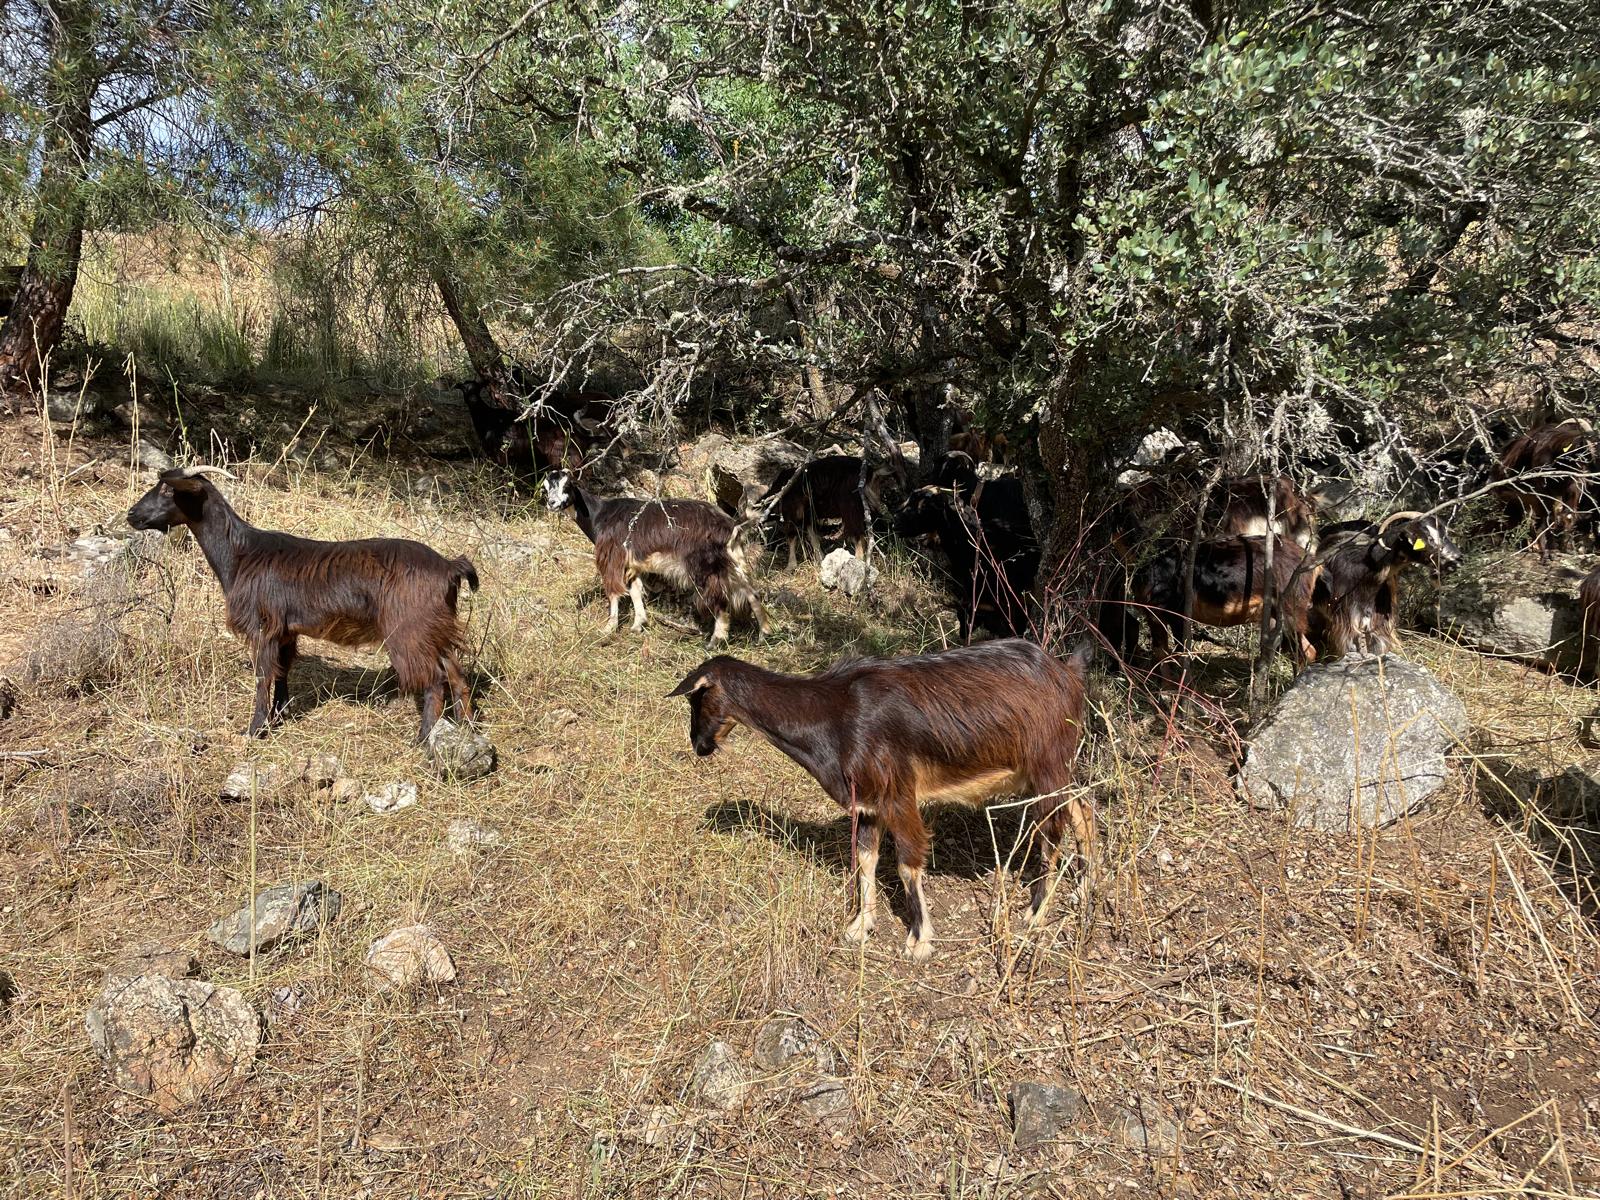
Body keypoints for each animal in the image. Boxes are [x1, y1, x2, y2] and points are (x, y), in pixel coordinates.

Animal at [127, 466, 478, 741]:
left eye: (167, 488)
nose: (132, 515)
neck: (242, 554)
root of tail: (448, 566)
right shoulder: (285, 630)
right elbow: (283, 671)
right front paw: (279, 715)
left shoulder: (263, 626)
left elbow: (263, 676)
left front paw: (255, 729)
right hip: (433, 628)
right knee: (455, 672)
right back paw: (466, 727)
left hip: (408, 631)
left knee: (434, 680)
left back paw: (423, 738)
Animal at [545, 471, 770, 646]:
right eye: (546, 488)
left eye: (567, 485)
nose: (552, 503)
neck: (599, 515)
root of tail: (732, 525)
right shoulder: (631, 563)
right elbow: (635, 591)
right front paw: (638, 625)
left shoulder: (612, 558)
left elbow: (614, 592)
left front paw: (608, 628)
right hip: (732, 560)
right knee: (751, 592)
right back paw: (764, 634)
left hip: (704, 565)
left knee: (720, 599)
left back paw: (715, 641)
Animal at [668, 639, 1096, 961]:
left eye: (696, 699)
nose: (698, 745)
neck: (832, 714)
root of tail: (1068, 675)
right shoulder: (868, 803)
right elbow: (866, 859)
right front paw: (861, 925)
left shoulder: (898, 795)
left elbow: (907, 864)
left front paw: (920, 940)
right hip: (1042, 772)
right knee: (1083, 807)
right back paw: (1085, 885)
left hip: (1046, 764)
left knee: (1052, 830)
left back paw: (1036, 913)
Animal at [1132, 535, 1317, 676]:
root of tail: (1311, 562)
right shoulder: (1155, 613)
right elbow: (1163, 653)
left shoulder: (1172, 611)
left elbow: (1174, 653)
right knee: (1308, 651)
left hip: (1290, 608)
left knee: (1302, 654)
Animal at [1494, 419, 1594, 555]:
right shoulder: (1543, 490)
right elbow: (1549, 518)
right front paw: (1550, 550)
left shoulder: (1573, 487)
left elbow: (1567, 516)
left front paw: (1568, 548)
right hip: (1511, 500)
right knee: (1517, 520)